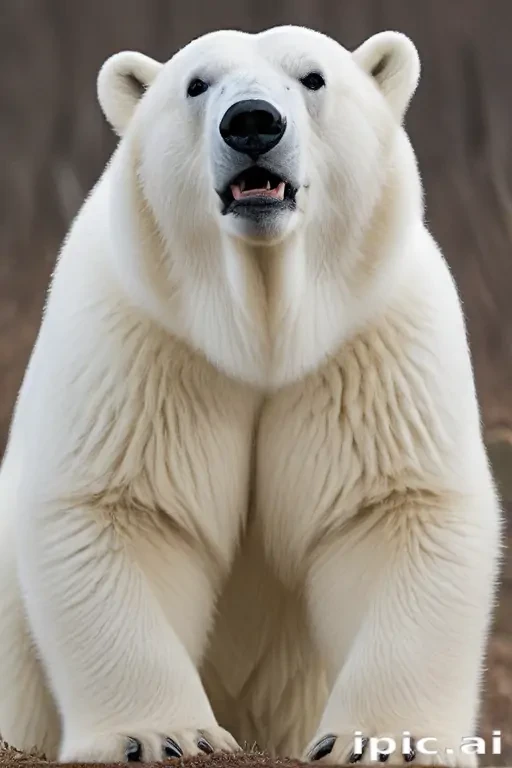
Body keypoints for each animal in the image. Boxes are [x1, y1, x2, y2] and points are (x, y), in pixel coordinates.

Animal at [0, 23, 502, 767]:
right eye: (196, 83)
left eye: (313, 77)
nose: (253, 122)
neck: (262, 331)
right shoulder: (145, 340)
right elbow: (122, 509)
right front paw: (163, 735)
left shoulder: (371, 340)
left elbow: (395, 510)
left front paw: (384, 742)